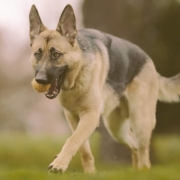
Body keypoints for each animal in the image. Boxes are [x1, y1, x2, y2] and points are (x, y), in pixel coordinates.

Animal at [28, 3, 180, 173]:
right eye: (37, 54)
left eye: (56, 54)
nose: (40, 80)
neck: (77, 76)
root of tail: (149, 60)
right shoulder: (74, 118)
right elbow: (83, 147)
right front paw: (89, 173)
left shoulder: (90, 115)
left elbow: (73, 140)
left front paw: (59, 164)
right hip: (116, 129)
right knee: (134, 145)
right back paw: (135, 172)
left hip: (141, 121)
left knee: (143, 154)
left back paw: (143, 171)